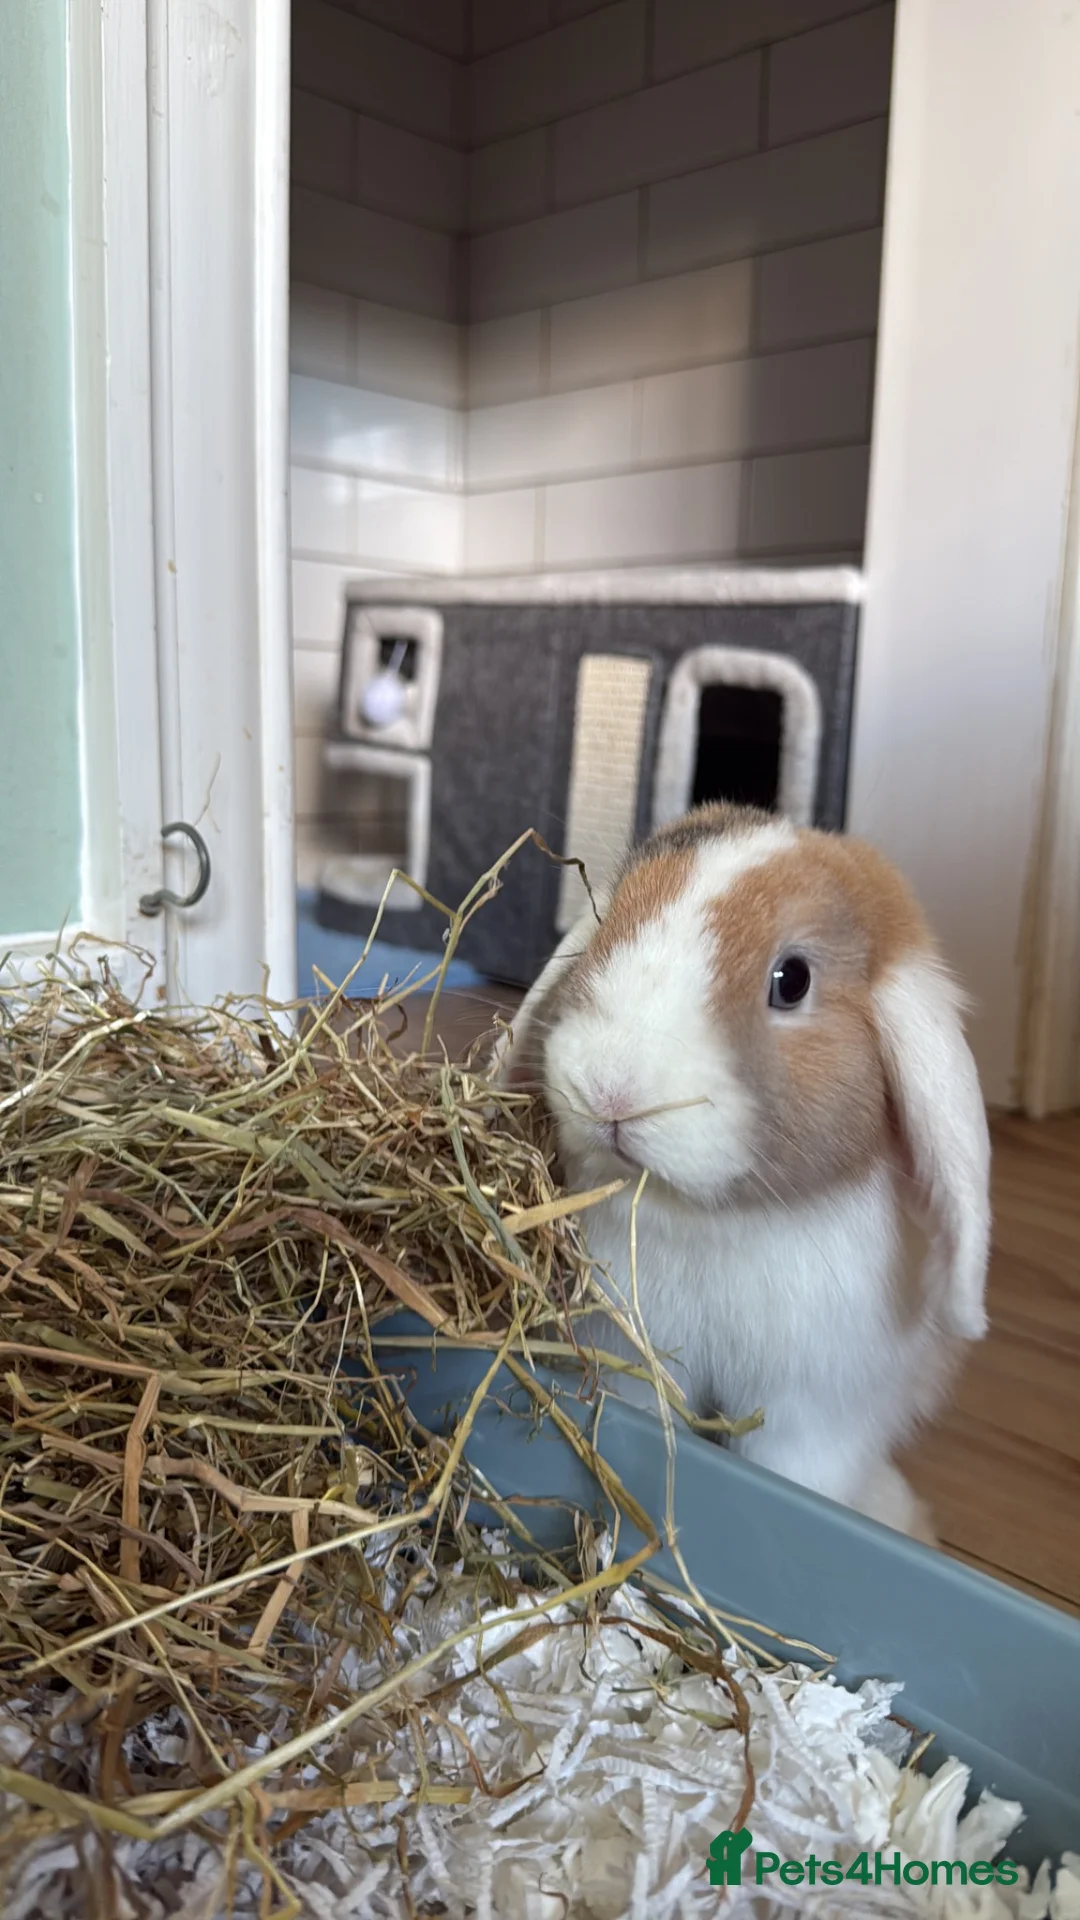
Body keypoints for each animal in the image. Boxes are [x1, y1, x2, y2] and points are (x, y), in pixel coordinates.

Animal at [493, 802, 991, 1542]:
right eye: (608, 921)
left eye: (793, 979)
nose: (611, 1088)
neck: (704, 1221)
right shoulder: (632, 1358)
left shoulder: (813, 1412)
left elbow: (793, 1470)